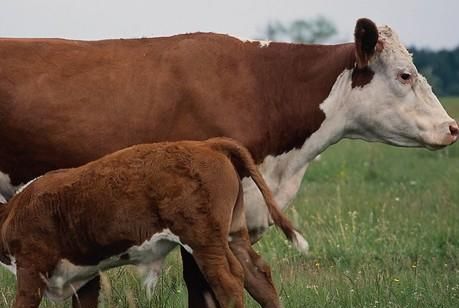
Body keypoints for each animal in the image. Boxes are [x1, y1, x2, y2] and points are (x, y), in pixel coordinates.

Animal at [0, 138, 310, 308]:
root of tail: (207, 144)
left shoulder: (31, 270)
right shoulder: (84, 277)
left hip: (203, 240)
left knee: (230, 282)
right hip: (233, 234)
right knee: (258, 275)